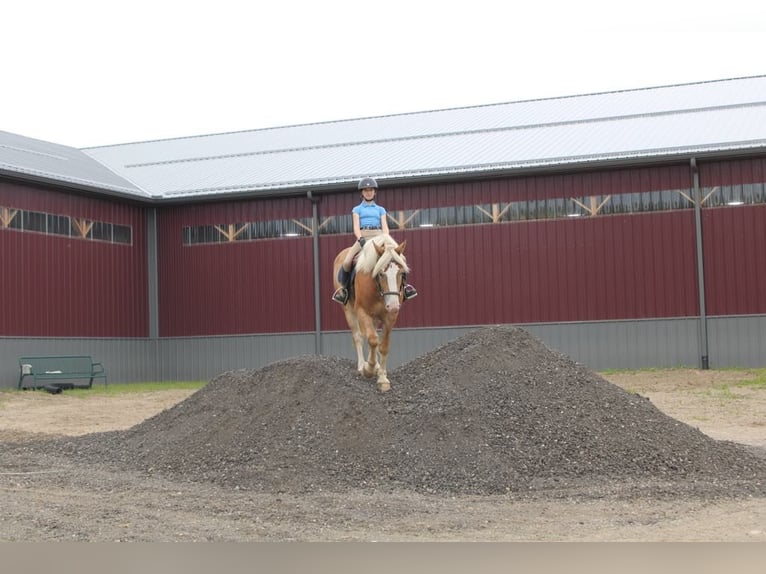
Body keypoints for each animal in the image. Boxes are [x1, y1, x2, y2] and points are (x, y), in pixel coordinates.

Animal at [332, 236, 412, 394]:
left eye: (401, 273)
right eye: (381, 273)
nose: (393, 305)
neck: (376, 288)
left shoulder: (390, 317)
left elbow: (383, 346)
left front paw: (382, 378)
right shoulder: (362, 312)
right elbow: (373, 340)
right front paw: (368, 369)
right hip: (348, 310)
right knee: (358, 337)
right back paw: (362, 365)